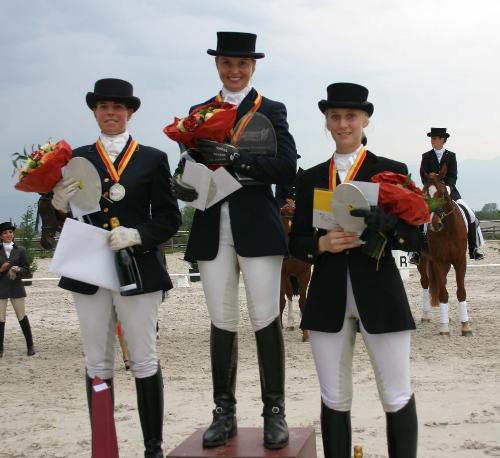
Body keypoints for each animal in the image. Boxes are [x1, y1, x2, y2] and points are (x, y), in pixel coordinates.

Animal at [418, 165, 472, 336]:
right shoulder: (439, 261)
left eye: (442, 193)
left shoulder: (460, 260)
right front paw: (444, 328)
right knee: (425, 282)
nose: (434, 224)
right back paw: (426, 316)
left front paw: (465, 326)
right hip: (423, 260)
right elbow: (442, 293)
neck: (447, 229)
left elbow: (461, 291)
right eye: (424, 194)